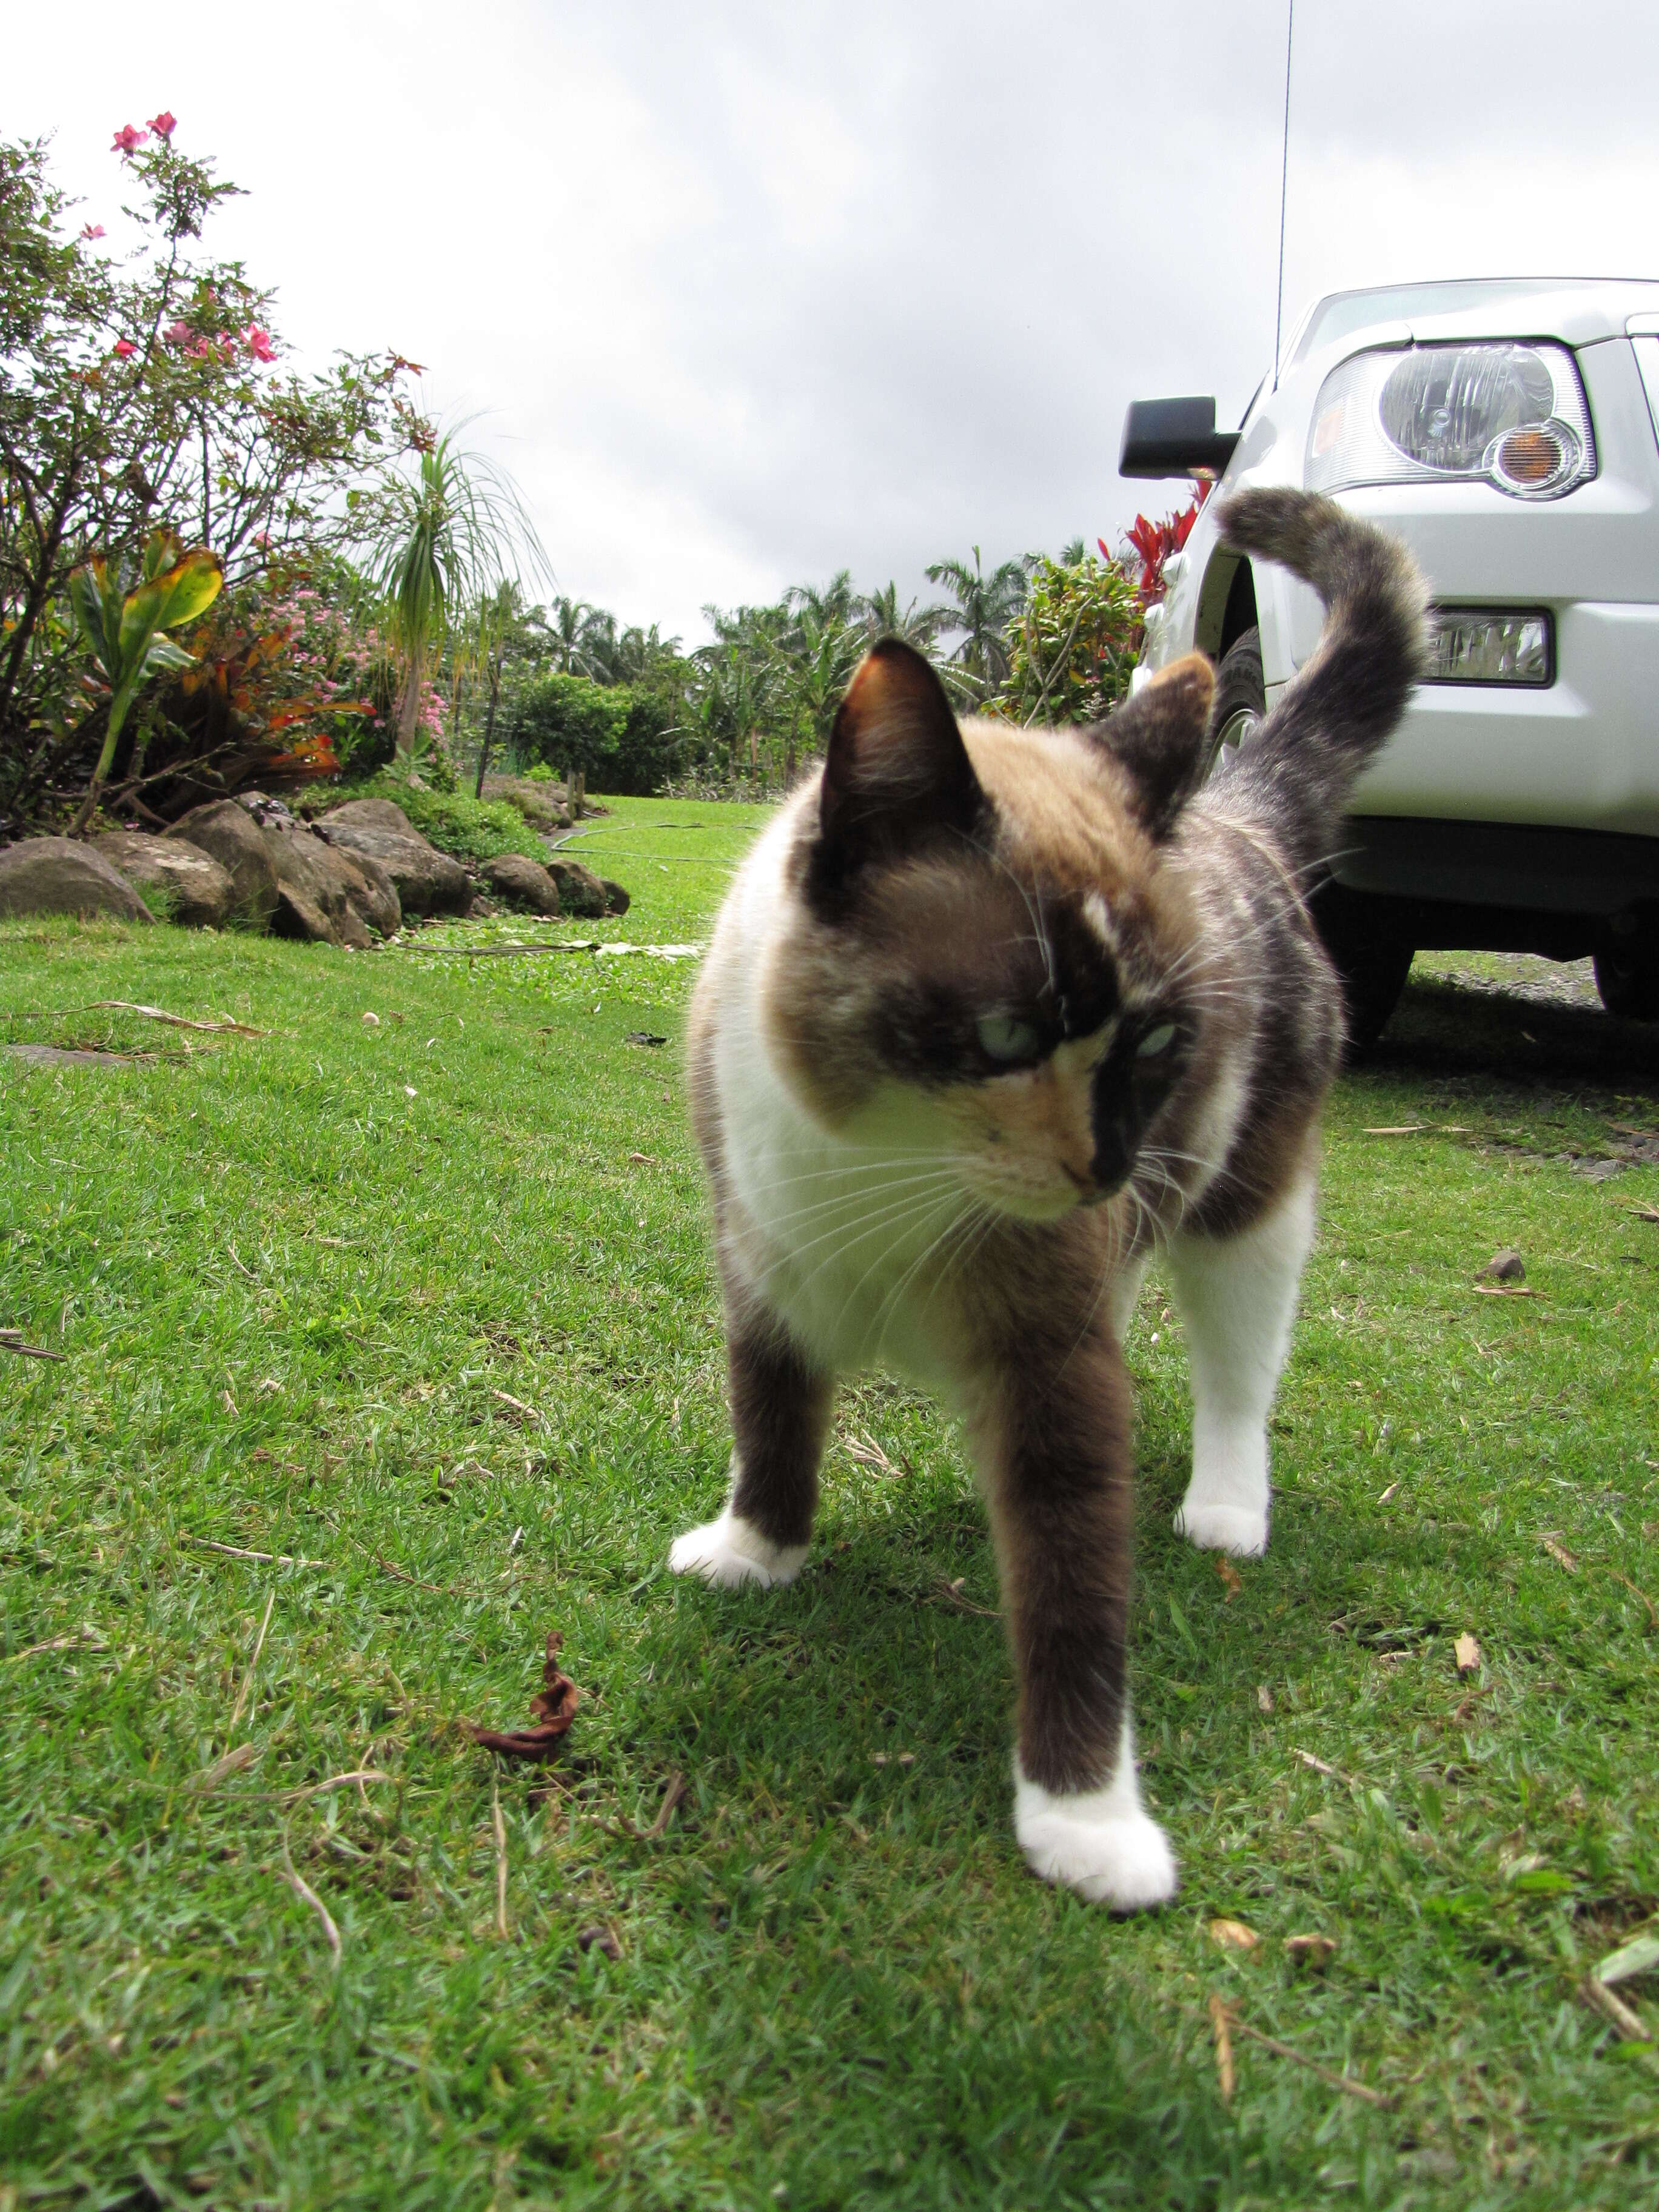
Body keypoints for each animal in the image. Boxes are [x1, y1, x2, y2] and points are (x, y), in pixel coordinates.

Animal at [668, 493, 1424, 1911]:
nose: (1110, 1171)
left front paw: (1085, 1820)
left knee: (1239, 1373)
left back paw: (1227, 1507)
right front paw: (758, 1552)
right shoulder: (762, 1269)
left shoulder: (1051, 1364)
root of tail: (1234, 807)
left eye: (1158, 1042)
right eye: (1011, 1032)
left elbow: (1074, 1589)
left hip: (1247, 1215)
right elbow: (771, 1417)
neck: (887, 1169)